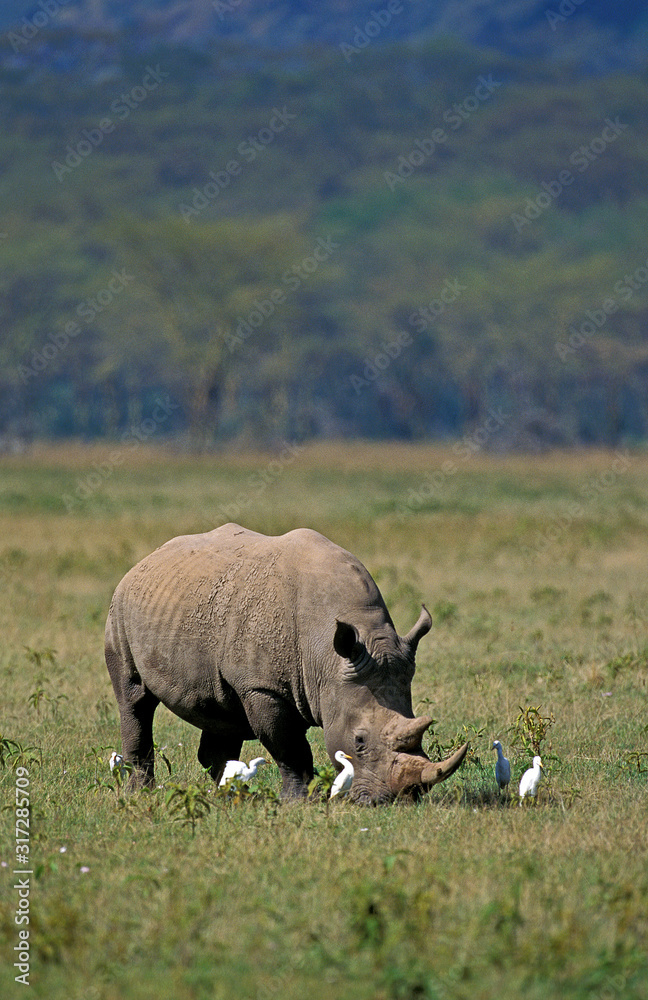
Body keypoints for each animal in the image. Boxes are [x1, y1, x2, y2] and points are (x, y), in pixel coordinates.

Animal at [105, 523, 468, 804]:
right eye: (359, 742)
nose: (403, 799)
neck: (328, 657)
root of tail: (147, 559)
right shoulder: (263, 687)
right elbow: (290, 748)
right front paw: (299, 802)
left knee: (220, 711)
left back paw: (227, 794)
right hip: (120, 607)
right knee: (135, 699)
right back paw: (142, 793)